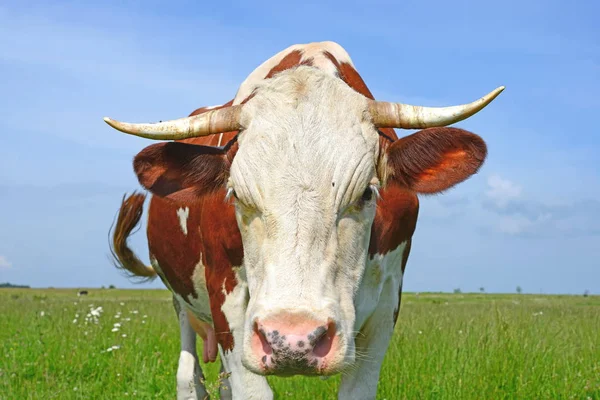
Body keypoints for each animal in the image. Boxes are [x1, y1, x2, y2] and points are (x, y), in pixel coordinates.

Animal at [105, 41, 504, 400]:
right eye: (237, 195)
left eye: (367, 193)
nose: (294, 340)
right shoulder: (227, 302)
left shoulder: (387, 302)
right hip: (181, 300)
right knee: (189, 379)